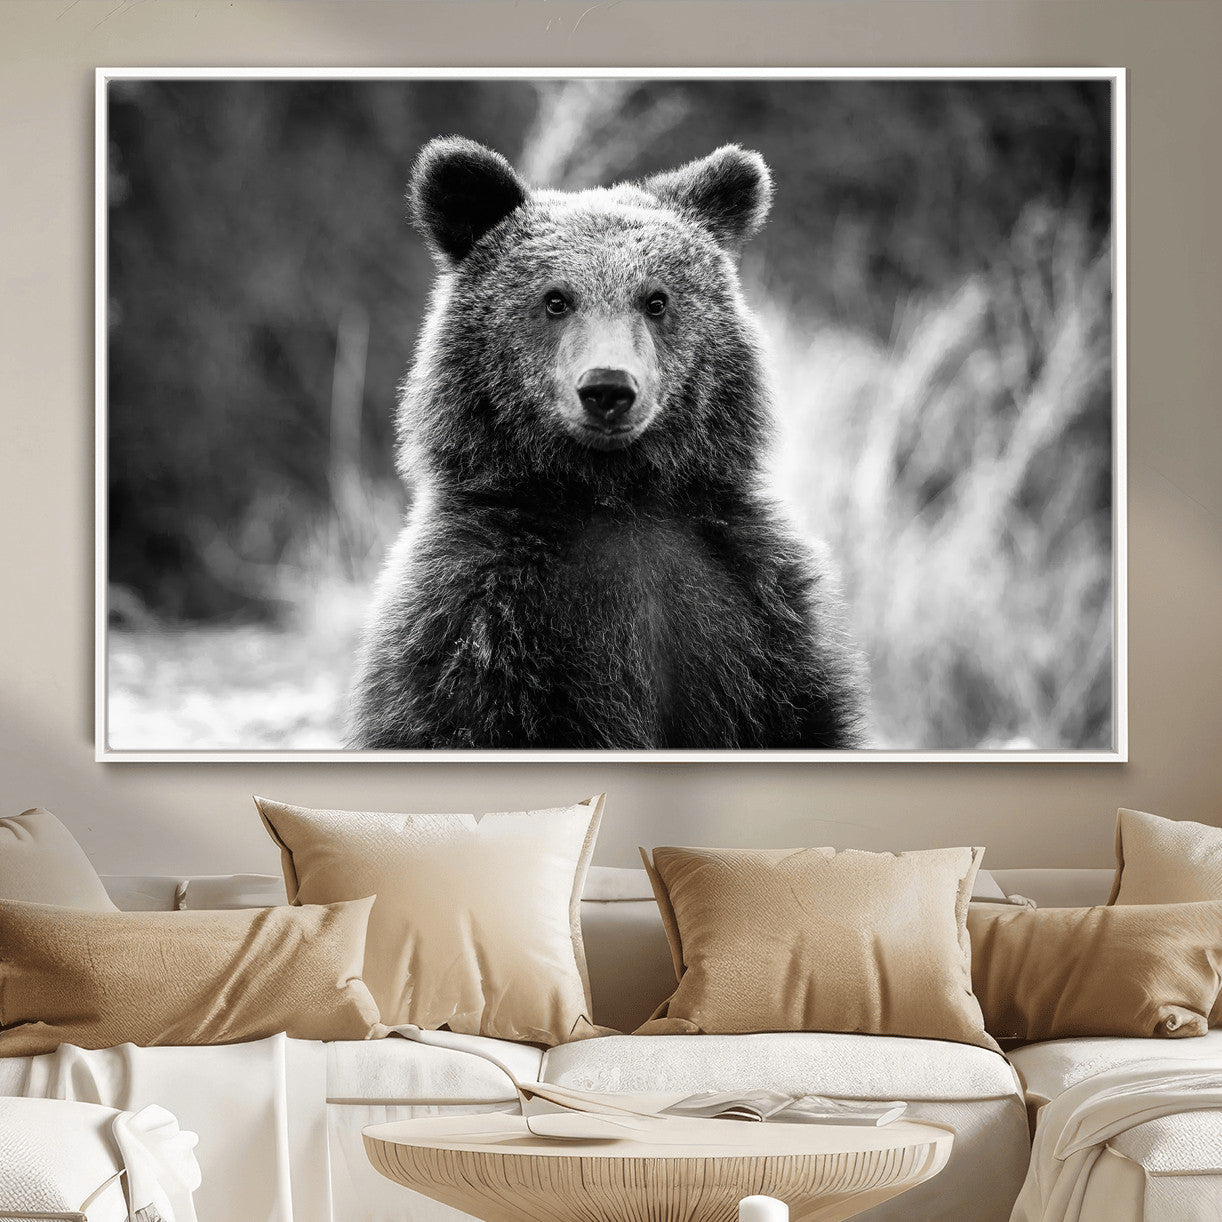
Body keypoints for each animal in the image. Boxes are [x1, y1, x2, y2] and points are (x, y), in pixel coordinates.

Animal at [347, 137, 866, 750]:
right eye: (555, 299)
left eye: (656, 300)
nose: (608, 388)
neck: (613, 495)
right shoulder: (477, 622)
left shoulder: (756, 612)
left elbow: (800, 716)